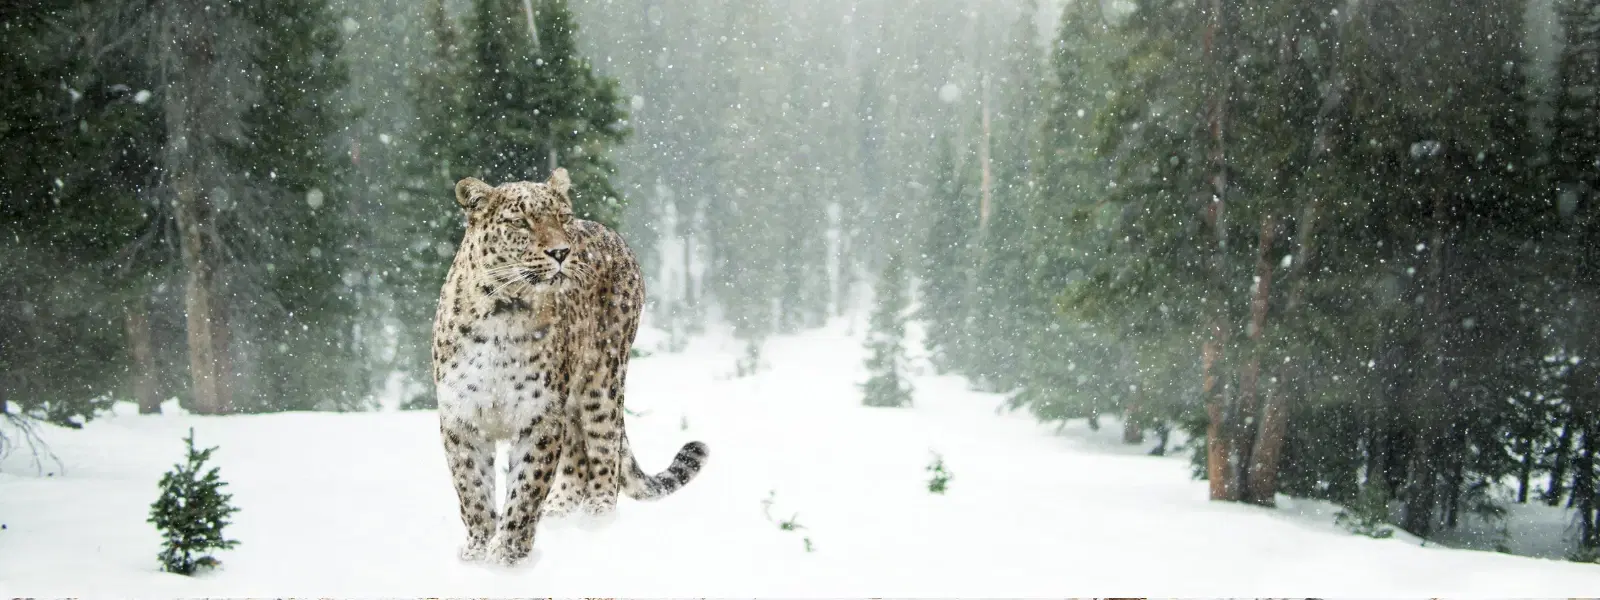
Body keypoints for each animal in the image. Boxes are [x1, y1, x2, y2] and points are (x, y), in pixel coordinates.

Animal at [431, 167, 708, 566]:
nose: (561, 251)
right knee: (577, 456)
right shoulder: (462, 418)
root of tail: (612, 233)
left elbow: (526, 489)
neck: (503, 313)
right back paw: (560, 514)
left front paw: (508, 556)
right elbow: (473, 491)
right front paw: (477, 552)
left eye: (561, 218)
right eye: (521, 222)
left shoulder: (540, 417)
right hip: (573, 401)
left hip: (602, 381)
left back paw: (596, 521)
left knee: (604, 450)